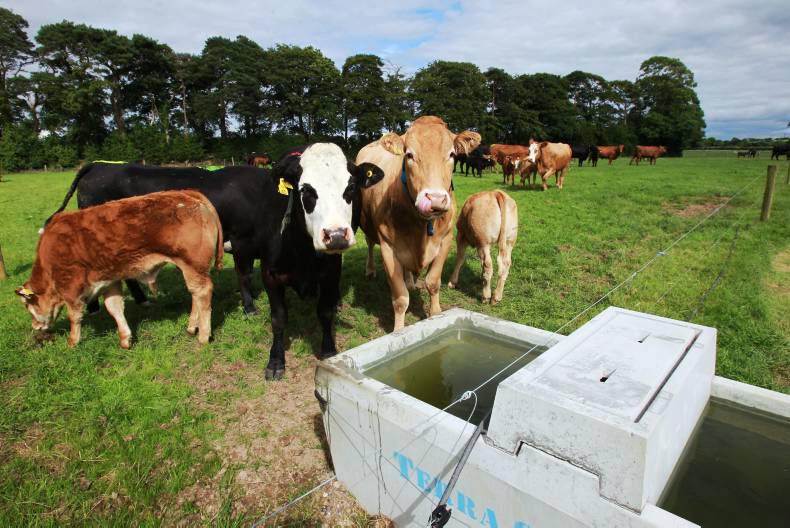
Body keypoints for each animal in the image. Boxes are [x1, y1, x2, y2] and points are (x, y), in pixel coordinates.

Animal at [17, 191, 223, 348]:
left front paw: (72, 342)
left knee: (202, 293)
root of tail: (188, 193)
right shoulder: (109, 280)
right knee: (195, 295)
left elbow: (74, 316)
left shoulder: (71, 287)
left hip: (193, 265)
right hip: (191, 268)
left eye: (28, 306)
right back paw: (192, 327)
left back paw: (203, 336)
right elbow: (114, 308)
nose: (35, 326)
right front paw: (125, 339)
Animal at [356, 116, 481, 331]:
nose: (436, 199)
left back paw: (411, 282)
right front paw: (398, 331)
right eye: (409, 155)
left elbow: (433, 283)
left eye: (451, 154)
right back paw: (370, 270)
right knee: (370, 244)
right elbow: (400, 298)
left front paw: (436, 315)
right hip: (367, 225)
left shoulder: (446, 239)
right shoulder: (389, 247)